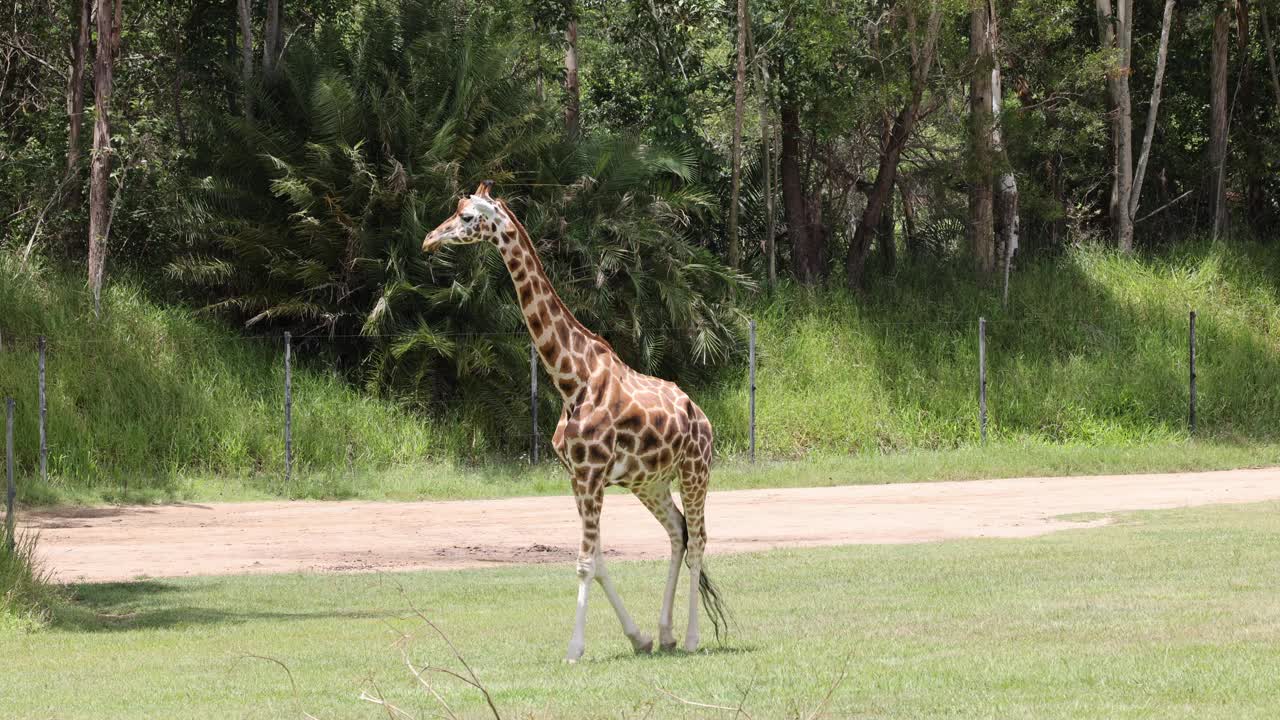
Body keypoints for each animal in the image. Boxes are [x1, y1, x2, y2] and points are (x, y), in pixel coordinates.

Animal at [422, 180, 732, 661]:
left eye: (467, 217)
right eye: (454, 211)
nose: (429, 240)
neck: (571, 379)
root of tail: (702, 417)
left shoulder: (590, 473)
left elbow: (585, 563)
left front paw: (573, 649)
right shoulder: (577, 476)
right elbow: (599, 560)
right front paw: (639, 638)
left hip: (696, 469)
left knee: (698, 538)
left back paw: (693, 638)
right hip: (650, 482)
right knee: (678, 533)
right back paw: (665, 633)